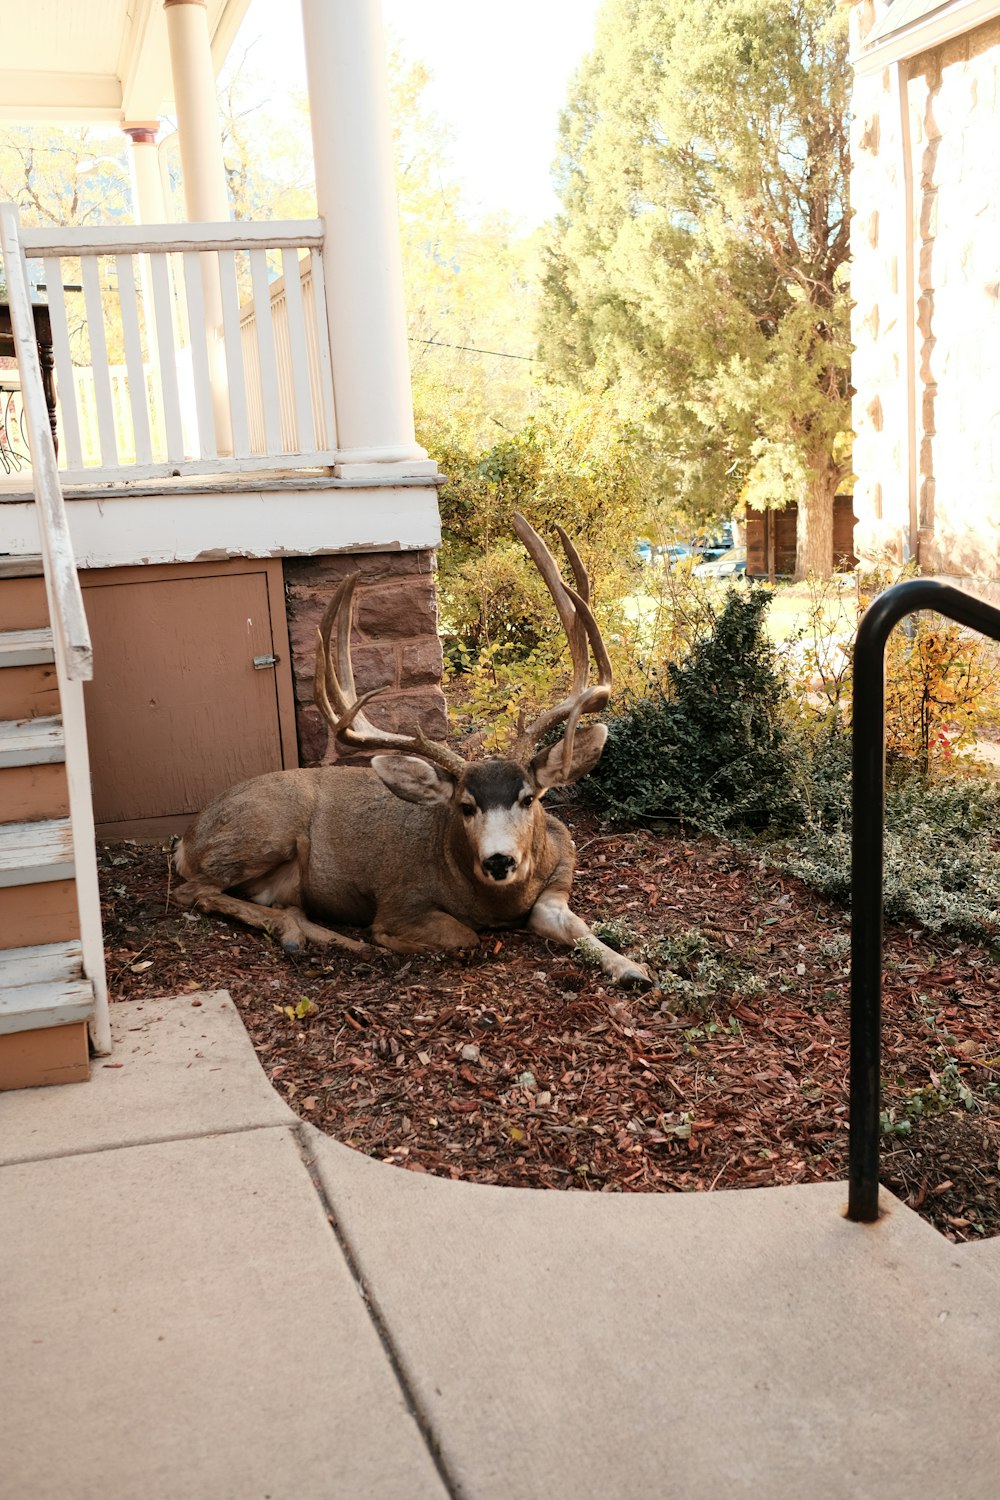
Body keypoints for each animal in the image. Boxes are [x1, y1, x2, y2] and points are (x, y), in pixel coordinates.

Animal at [170, 516, 656, 996]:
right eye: (465, 806)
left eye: (529, 798)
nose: (499, 860)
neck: (493, 900)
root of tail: (188, 839)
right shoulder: (400, 901)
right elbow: (463, 935)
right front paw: (390, 941)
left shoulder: (558, 882)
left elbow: (580, 928)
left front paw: (633, 969)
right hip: (265, 831)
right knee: (193, 892)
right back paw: (314, 936)